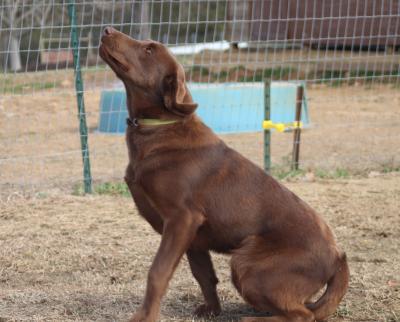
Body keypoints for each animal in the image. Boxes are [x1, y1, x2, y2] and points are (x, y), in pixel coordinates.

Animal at [98, 27, 348, 322]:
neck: (157, 127)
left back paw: (253, 319)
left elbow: (157, 272)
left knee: (303, 315)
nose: (107, 29)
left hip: (248, 265)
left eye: (149, 50)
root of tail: (338, 257)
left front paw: (144, 317)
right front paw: (212, 310)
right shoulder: (193, 237)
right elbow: (204, 276)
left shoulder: (182, 219)